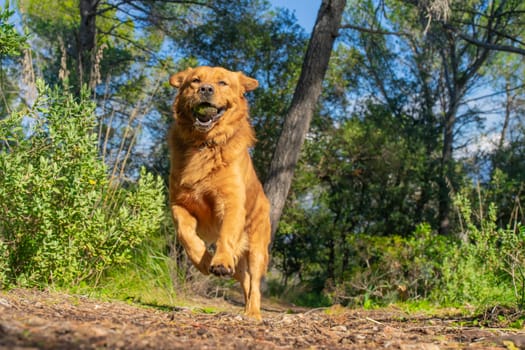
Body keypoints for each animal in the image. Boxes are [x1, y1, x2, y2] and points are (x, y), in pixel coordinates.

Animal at [168, 65, 270, 320]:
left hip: (257, 251)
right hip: (241, 265)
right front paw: (203, 261)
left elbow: (226, 235)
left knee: (255, 284)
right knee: (245, 281)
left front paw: (220, 261)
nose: (206, 89)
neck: (204, 144)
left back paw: (253, 313)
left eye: (223, 82)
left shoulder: (231, 202)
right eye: (195, 81)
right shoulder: (179, 203)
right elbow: (185, 233)